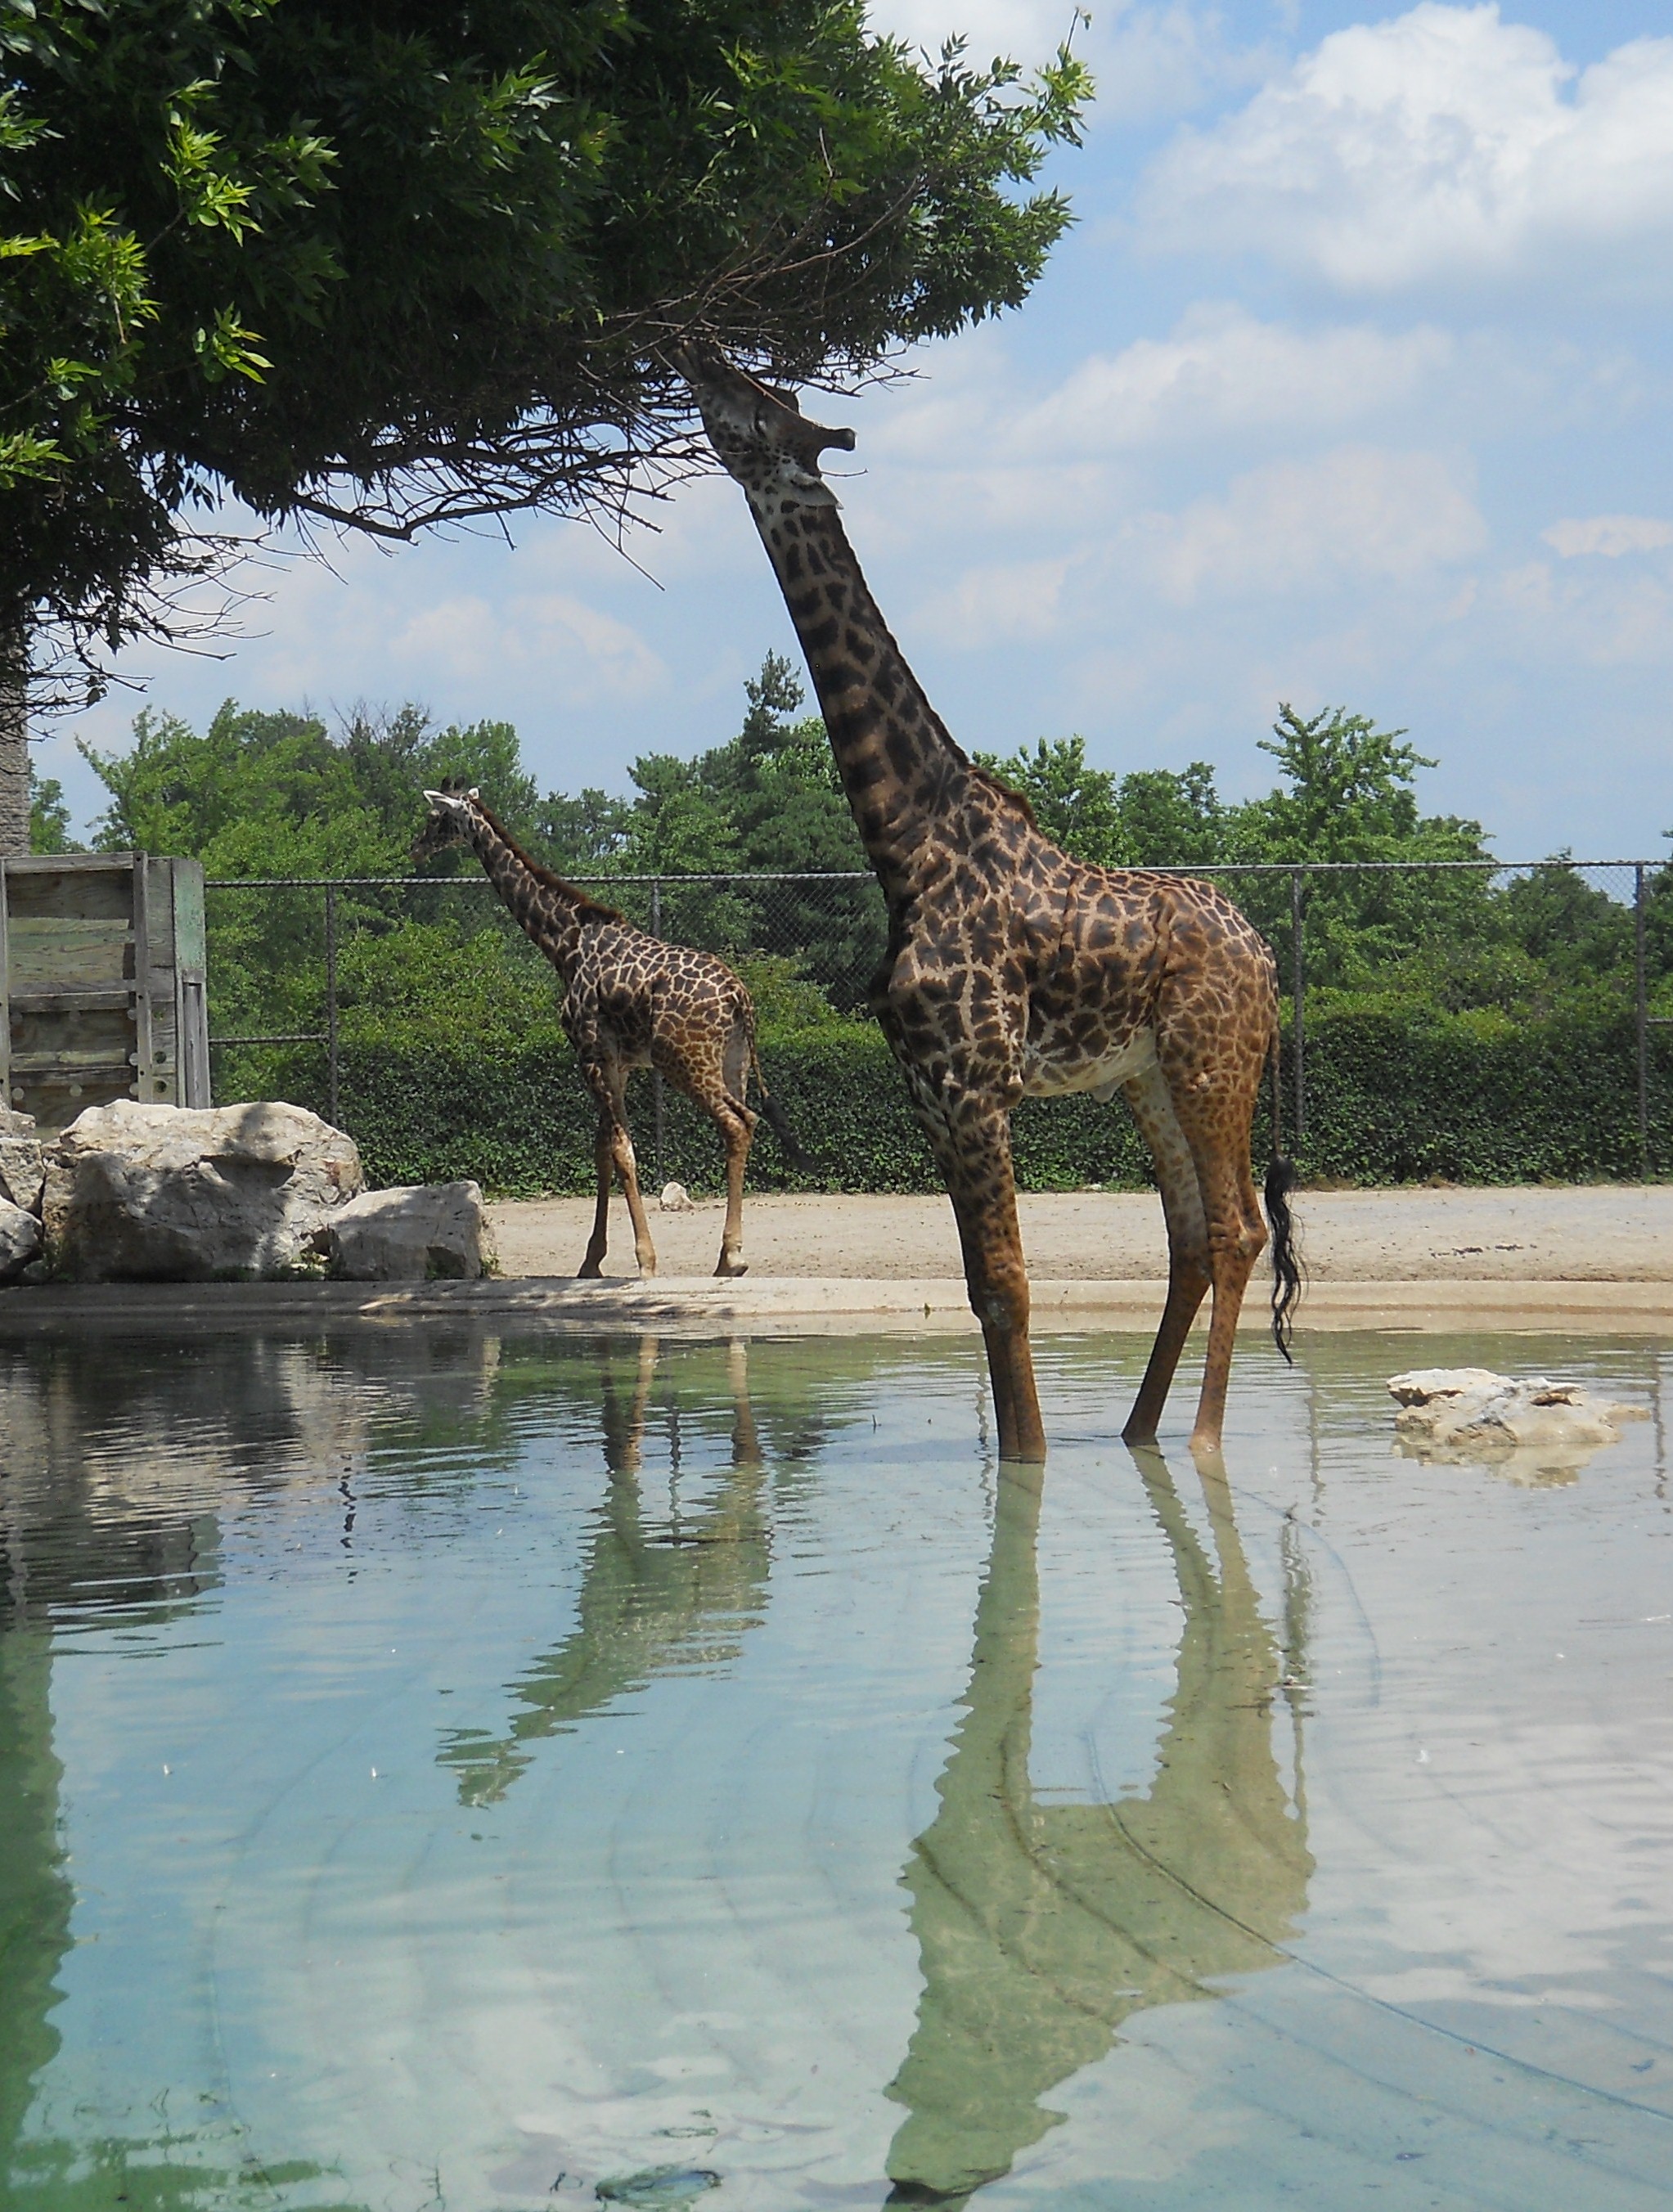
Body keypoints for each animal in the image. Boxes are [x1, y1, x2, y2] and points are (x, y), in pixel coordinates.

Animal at [418, 792, 810, 1283]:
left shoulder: (590, 1053)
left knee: (736, 1123)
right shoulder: (615, 1063)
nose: (415, 847)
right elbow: (603, 1149)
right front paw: (591, 1261)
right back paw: (729, 1256)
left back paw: (731, 1259)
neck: (564, 943)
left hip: (685, 1060)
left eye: (437, 817)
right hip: (732, 1060)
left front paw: (644, 1261)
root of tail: (740, 998)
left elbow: (622, 1151)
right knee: (749, 1121)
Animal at [672, 344, 1301, 1459]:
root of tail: (1264, 953)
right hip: (1145, 1077)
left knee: (1237, 1231)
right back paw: (1136, 1432)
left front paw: (1031, 1466)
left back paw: (1197, 1441)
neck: (905, 844)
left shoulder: (973, 1086)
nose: (691, 352)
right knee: (1190, 1238)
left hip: (1210, 1064)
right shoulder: (927, 1094)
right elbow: (977, 1293)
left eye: (757, 403)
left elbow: (1009, 1289)